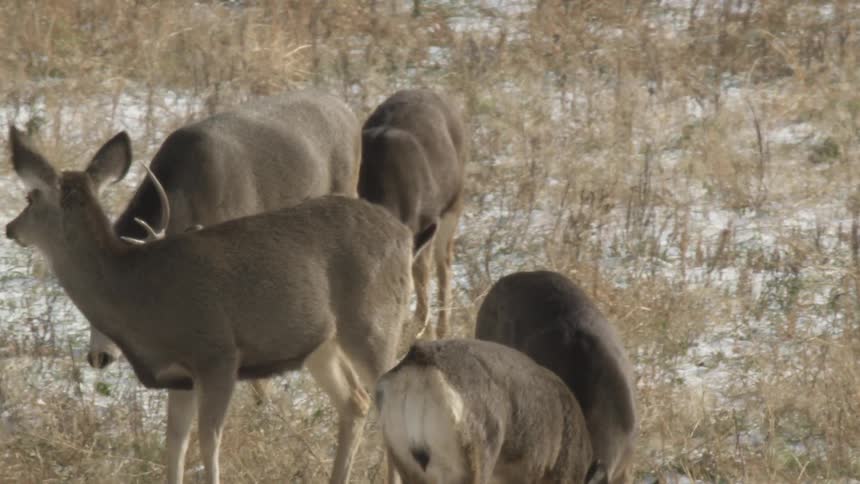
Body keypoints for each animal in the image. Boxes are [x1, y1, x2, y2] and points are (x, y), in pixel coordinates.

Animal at [6, 125, 434, 484]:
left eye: (30, 196)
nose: (10, 228)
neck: (135, 291)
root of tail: (404, 235)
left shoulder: (218, 353)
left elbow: (209, 441)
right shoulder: (179, 376)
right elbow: (175, 444)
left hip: (374, 322)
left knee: (383, 399)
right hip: (321, 345)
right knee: (355, 402)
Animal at [358, 89, 466, 340]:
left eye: (400, 294)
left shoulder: (426, 220)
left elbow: (421, 275)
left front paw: (424, 333)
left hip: (454, 202)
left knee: (444, 262)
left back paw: (442, 330)